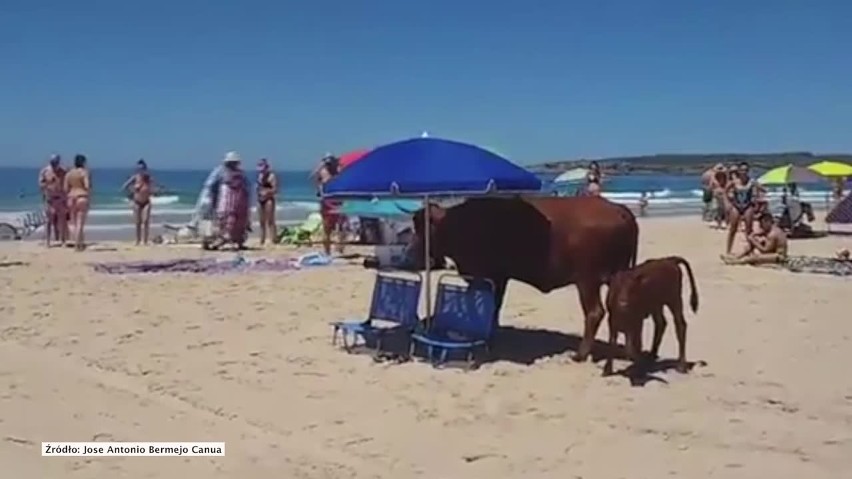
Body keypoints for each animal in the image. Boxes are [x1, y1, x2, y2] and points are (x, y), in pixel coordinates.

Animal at [408, 194, 640, 360]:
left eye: (423, 228)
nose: (413, 252)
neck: (457, 223)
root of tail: (619, 209)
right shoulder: (498, 279)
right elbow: (494, 308)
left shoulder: (483, 277)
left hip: (587, 281)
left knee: (594, 313)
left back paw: (580, 354)